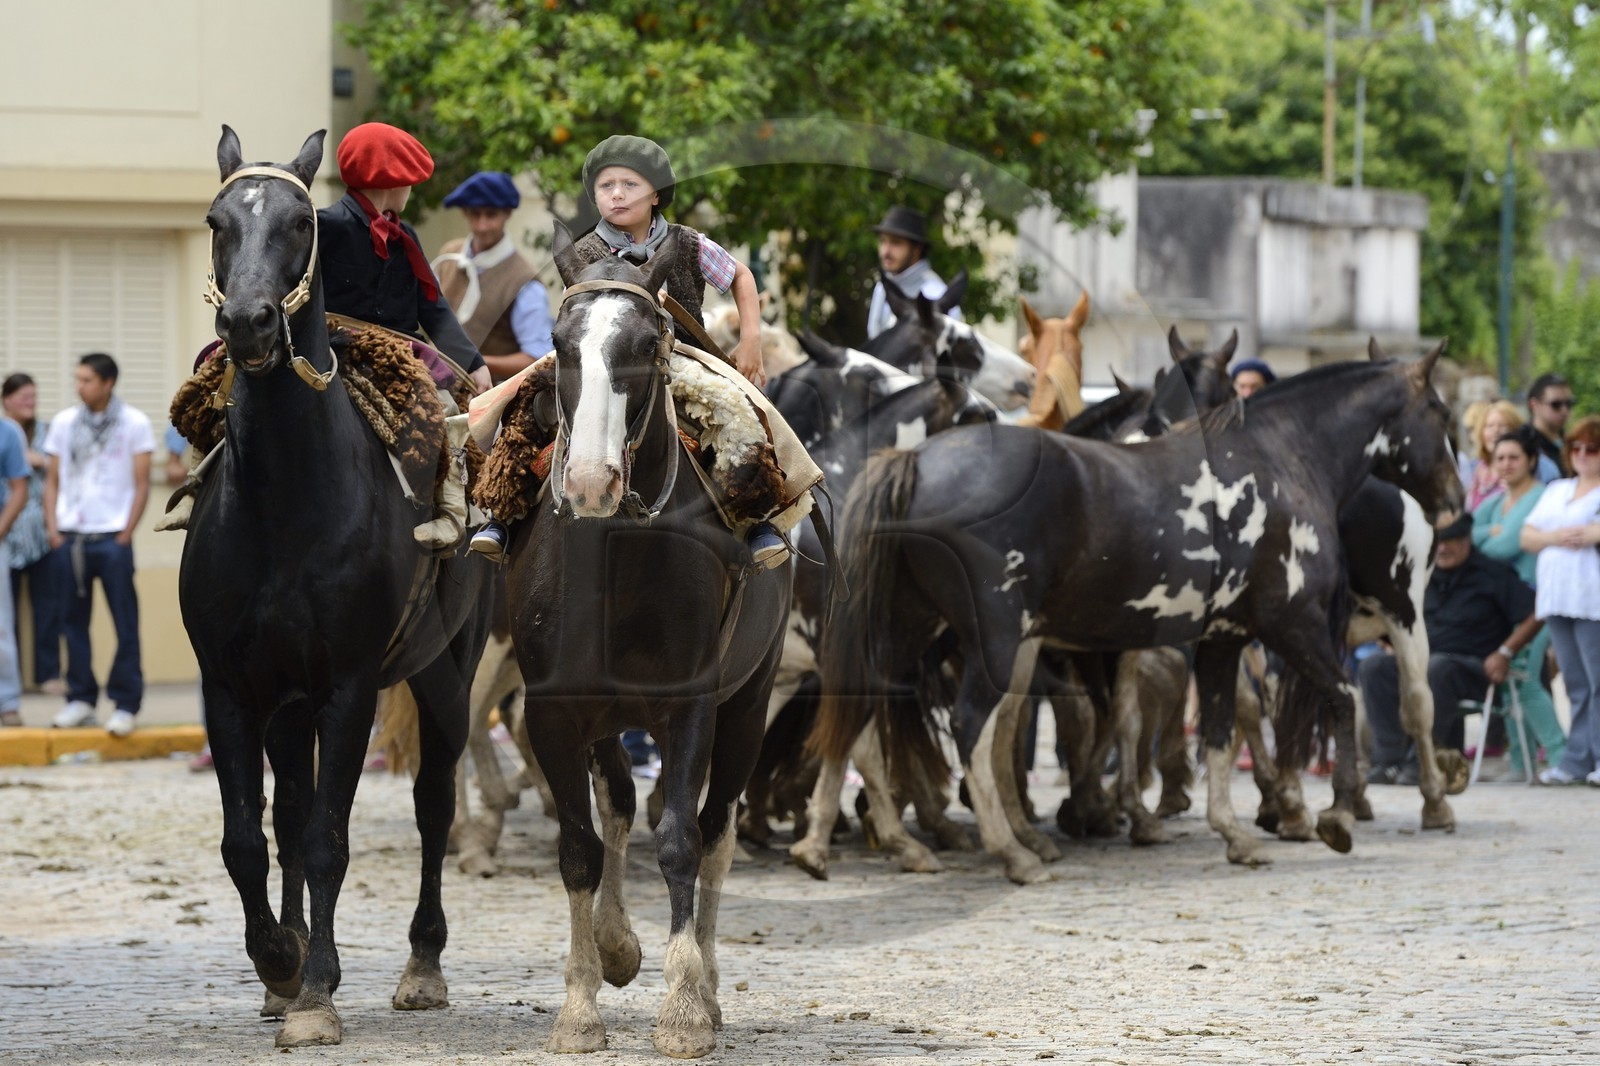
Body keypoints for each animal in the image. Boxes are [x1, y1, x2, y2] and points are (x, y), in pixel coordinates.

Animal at [180, 127, 493, 1047]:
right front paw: (280, 962)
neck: (285, 503)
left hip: (447, 673)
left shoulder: (348, 688)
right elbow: (250, 839)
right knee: (287, 813)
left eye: (296, 223)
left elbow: (329, 840)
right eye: (217, 221)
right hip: (289, 704)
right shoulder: (233, 688)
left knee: (432, 803)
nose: (248, 323)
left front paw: (316, 990)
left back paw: (423, 962)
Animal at [504, 222, 790, 1057]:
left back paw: (708, 983)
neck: (620, 556)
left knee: (717, 829)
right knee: (619, 806)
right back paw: (616, 943)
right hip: (606, 719)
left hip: (747, 705)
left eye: (648, 343)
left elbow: (681, 841)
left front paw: (686, 1007)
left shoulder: (691, 706)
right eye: (560, 344)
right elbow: (578, 847)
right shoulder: (552, 712)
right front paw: (580, 1004)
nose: (591, 480)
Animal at [811, 351, 1462, 883]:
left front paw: (1234, 834)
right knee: (973, 730)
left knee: (862, 713)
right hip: (993, 644)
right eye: (1440, 413)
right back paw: (1012, 852)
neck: (1281, 460)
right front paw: (1339, 815)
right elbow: (1344, 699)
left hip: (907, 631)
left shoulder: (1225, 640)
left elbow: (1220, 733)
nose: (1455, 500)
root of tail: (916, 462)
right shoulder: (1293, 625)